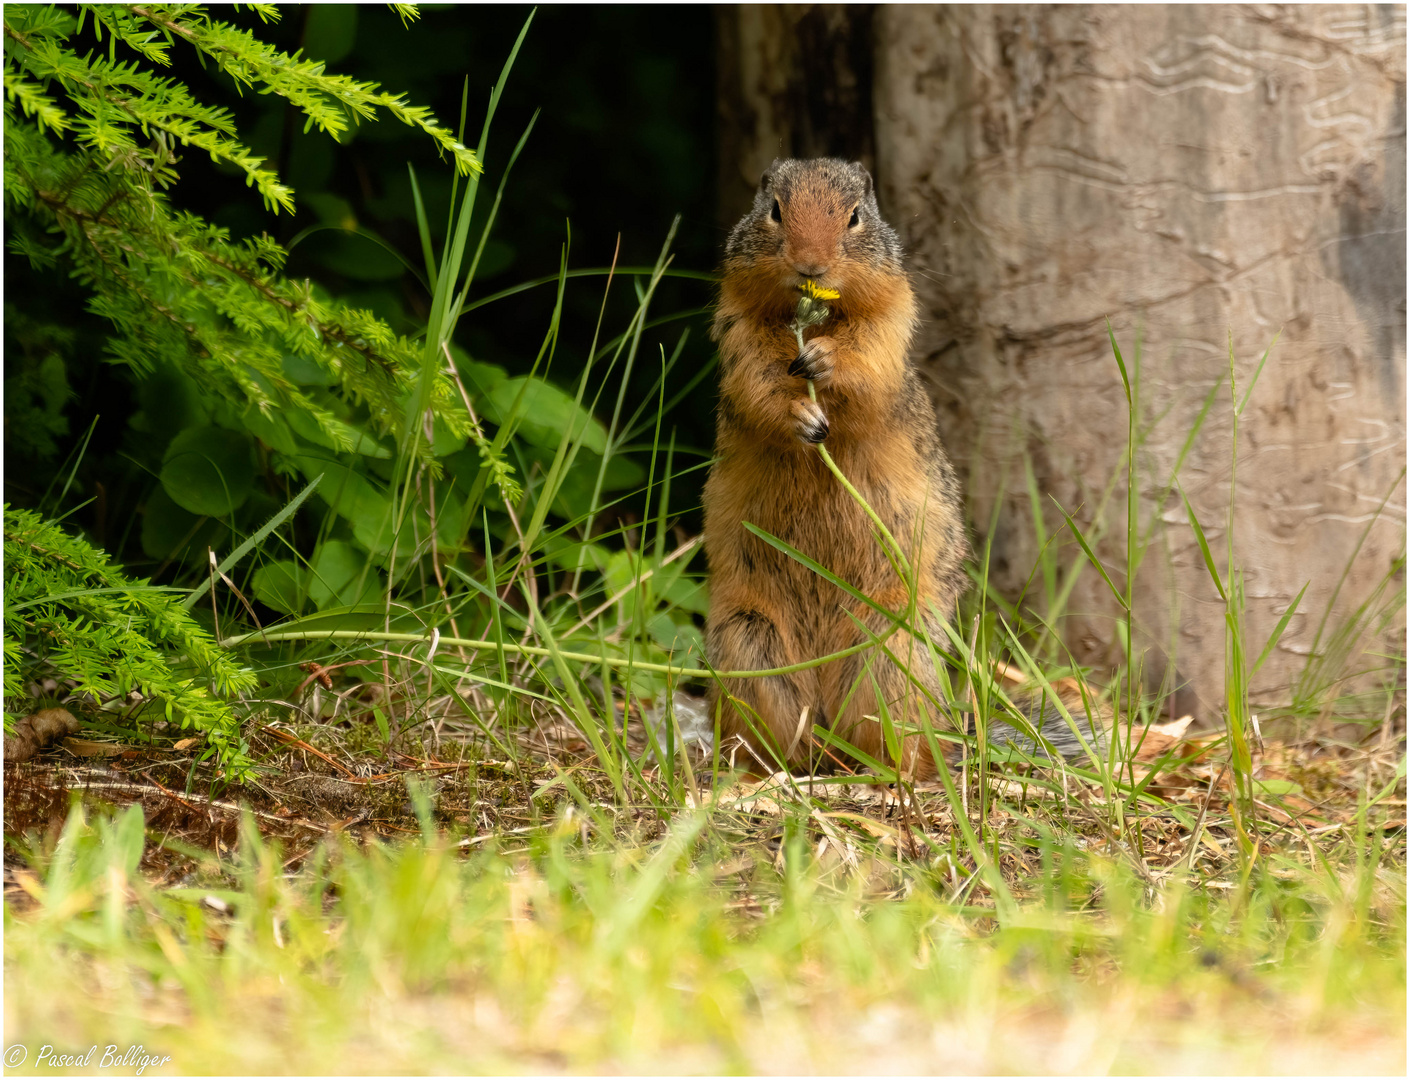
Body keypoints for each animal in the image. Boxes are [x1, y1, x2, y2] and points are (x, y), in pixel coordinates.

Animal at [702, 156, 1088, 772]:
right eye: (775, 210)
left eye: (855, 216)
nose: (811, 265)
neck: (812, 316)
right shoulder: (739, 331)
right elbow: (760, 386)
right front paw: (801, 415)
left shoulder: (889, 322)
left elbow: (865, 368)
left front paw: (823, 362)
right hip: (748, 641)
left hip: (891, 647)